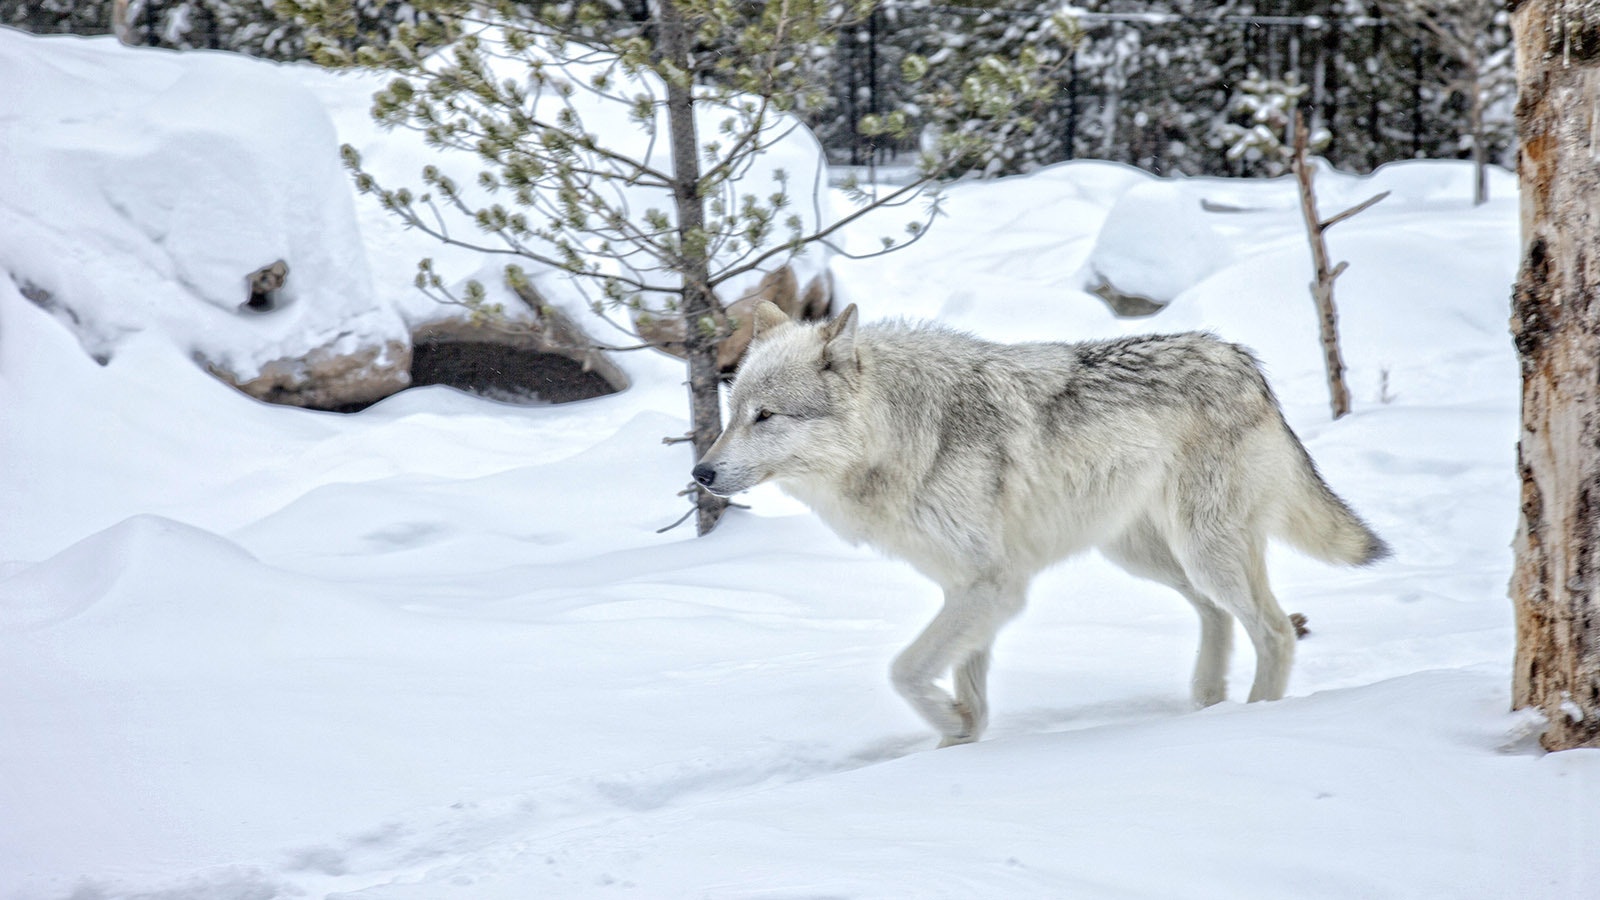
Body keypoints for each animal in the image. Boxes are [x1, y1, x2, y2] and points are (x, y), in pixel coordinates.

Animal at [693, 301, 1389, 747]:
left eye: (766, 415)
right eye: (734, 411)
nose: (700, 472)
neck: (905, 437)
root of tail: (1244, 361)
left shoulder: (993, 588)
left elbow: (905, 671)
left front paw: (949, 726)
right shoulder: (968, 590)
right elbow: (964, 689)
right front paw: (957, 743)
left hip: (1201, 551)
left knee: (1276, 630)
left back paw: (1252, 721)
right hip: (1144, 556)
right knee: (1217, 615)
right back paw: (1207, 703)